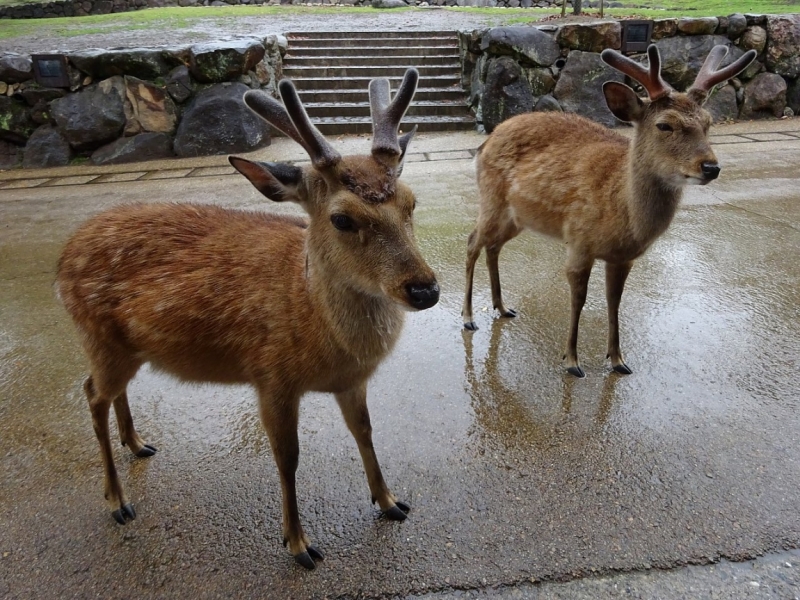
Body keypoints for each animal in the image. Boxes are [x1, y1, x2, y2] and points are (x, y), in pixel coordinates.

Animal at [57, 68, 440, 568]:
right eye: (342, 219)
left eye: (412, 203)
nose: (425, 288)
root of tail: (64, 257)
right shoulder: (270, 376)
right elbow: (287, 458)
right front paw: (298, 543)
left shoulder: (351, 381)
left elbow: (365, 433)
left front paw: (391, 501)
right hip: (96, 335)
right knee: (91, 394)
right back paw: (118, 501)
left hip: (125, 348)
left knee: (110, 391)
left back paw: (138, 444)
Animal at [462, 44, 756, 378]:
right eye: (664, 124)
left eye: (708, 123)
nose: (710, 167)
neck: (622, 216)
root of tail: (487, 140)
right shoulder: (579, 241)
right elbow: (579, 299)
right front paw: (572, 361)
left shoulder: (623, 258)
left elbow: (614, 301)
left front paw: (618, 360)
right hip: (491, 198)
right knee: (472, 241)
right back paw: (469, 318)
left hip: (518, 217)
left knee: (493, 246)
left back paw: (502, 307)